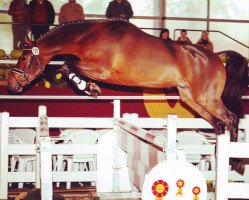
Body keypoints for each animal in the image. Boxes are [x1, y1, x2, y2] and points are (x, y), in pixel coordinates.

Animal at [7, 19, 247, 145]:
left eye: (24, 58)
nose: (10, 85)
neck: (88, 36)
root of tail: (216, 57)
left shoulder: (101, 70)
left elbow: (67, 67)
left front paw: (89, 88)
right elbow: (67, 67)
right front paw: (89, 88)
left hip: (207, 98)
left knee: (231, 119)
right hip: (191, 98)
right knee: (218, 124)